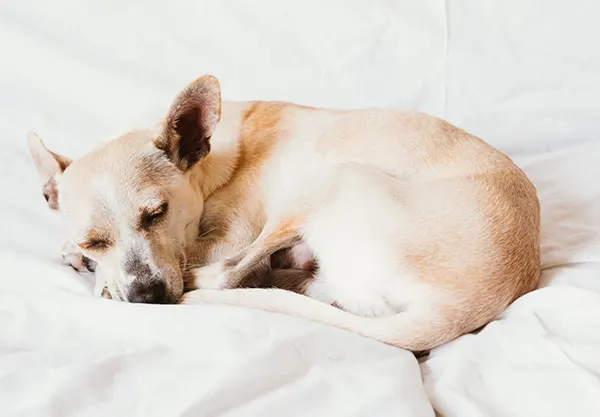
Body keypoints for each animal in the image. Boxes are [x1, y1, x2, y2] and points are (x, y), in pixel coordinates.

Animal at [29, 75, 544, 352]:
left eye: (157, 213)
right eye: (92, 241)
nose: (147, 297)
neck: (208, 161)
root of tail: (460, 309)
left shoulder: (228, 237)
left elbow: (209, 261)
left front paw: (104, 281)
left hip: (329, 181)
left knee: (227, 277)